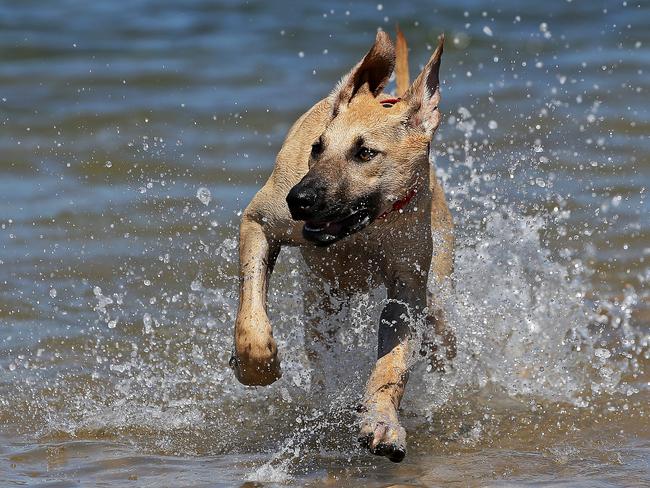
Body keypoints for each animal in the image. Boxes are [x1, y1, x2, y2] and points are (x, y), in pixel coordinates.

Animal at [230, 28, 454, 464]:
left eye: (365, 152)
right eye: (317, 148)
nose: (298, 200)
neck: (362, 233)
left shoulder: (407, 290)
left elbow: (391, 364)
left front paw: (381, 422)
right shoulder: (259, 223)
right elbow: (251, 313)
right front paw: (256, 365)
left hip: (439, 305)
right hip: (322, 301)